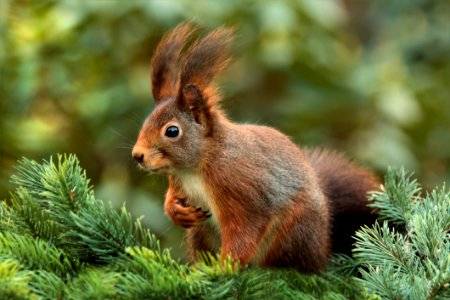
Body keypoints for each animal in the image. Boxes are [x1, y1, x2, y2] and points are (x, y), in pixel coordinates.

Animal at [132, 22, 378, 272]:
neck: (196, 167)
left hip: (294, 229)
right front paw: (177, 212)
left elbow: (244, 231)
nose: (137, 155)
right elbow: (172, 198)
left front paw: (224, 268)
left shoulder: (240, 189)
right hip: (200, 232)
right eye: (145, 122)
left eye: (172, 131)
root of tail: (322, 248)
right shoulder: (178, 182)